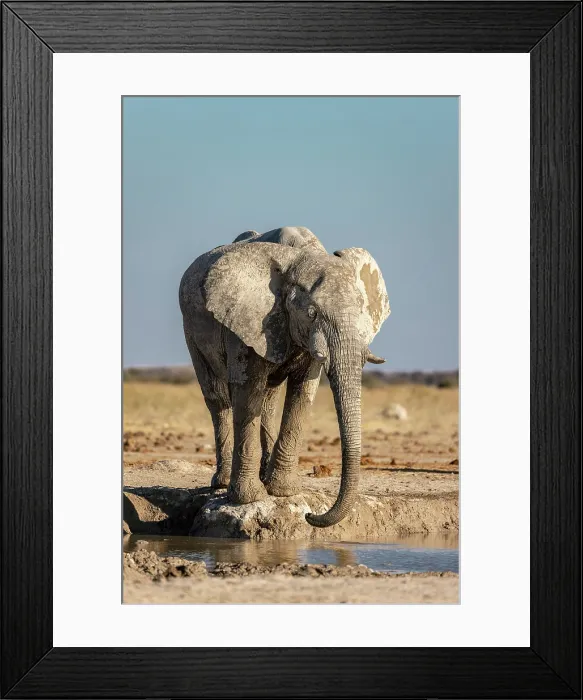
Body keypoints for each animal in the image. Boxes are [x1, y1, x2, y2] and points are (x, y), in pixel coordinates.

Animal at [179, 226, 390, 527]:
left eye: (362, 313)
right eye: (312, 313)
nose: (310, 515)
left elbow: (303, 393)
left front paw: (282, 491)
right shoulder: (246, 320)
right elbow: (247, 393)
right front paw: (249, 498)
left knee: (268, 398)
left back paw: (262, 477)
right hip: (190, 327)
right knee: (217, 398)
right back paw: (221, 484)